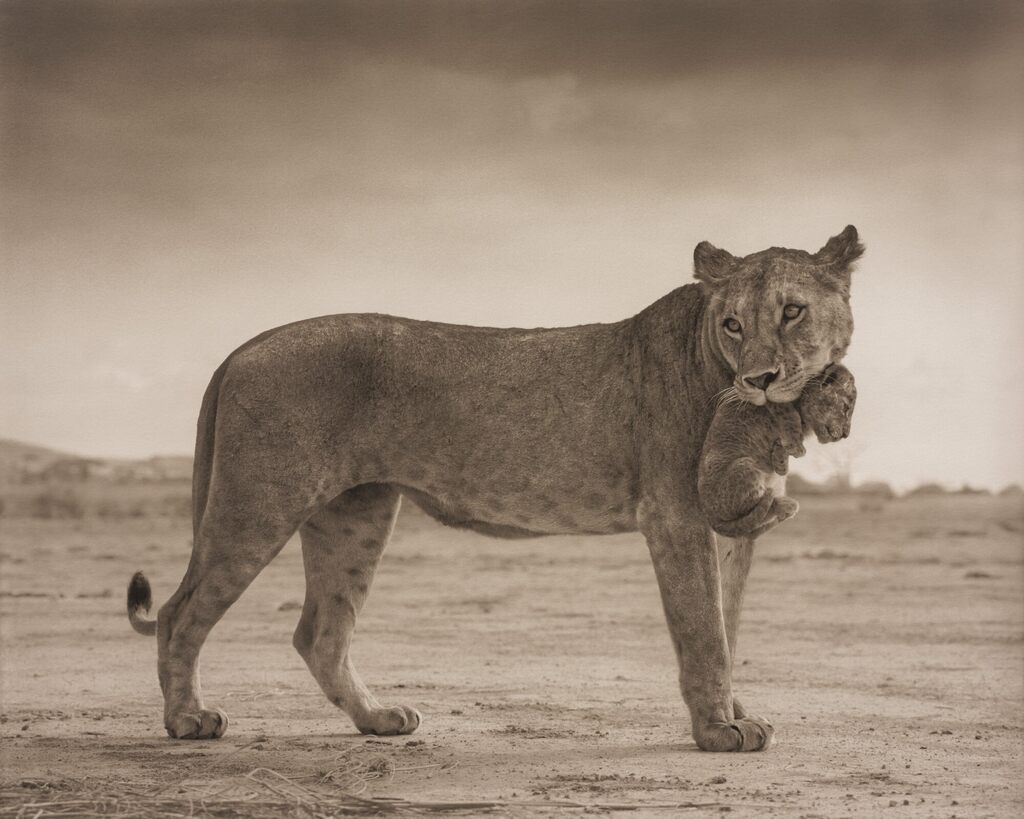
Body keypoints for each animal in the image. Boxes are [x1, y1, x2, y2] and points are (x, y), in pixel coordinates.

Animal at [126, 226, 863, 752]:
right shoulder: (676, 514)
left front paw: (735, 711)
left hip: (355, 515)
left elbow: (727, 623)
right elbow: (704, 628)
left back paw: (378, 718)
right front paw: (718, 730)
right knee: (182, 611)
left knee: (320, 631)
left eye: (792, 311)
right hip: (260, 502)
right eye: (734, 322)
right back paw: (188, 720)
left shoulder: (731, 525)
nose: (760, 379)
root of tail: (247, 345)